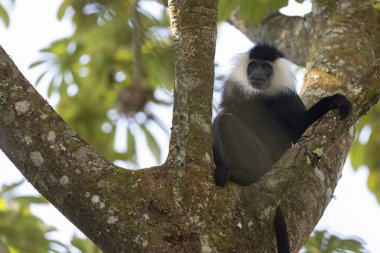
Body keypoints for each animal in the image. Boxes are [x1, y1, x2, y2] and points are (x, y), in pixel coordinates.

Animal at [212, 44, 352, 253]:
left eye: (266, 67)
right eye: (254, 65)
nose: (258, 73)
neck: (258, 94)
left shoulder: (285, 97)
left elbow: (299, 128)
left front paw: (333, 101)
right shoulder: (233, 90)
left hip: (263, 161)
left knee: (225, 122)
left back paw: (241, 175)